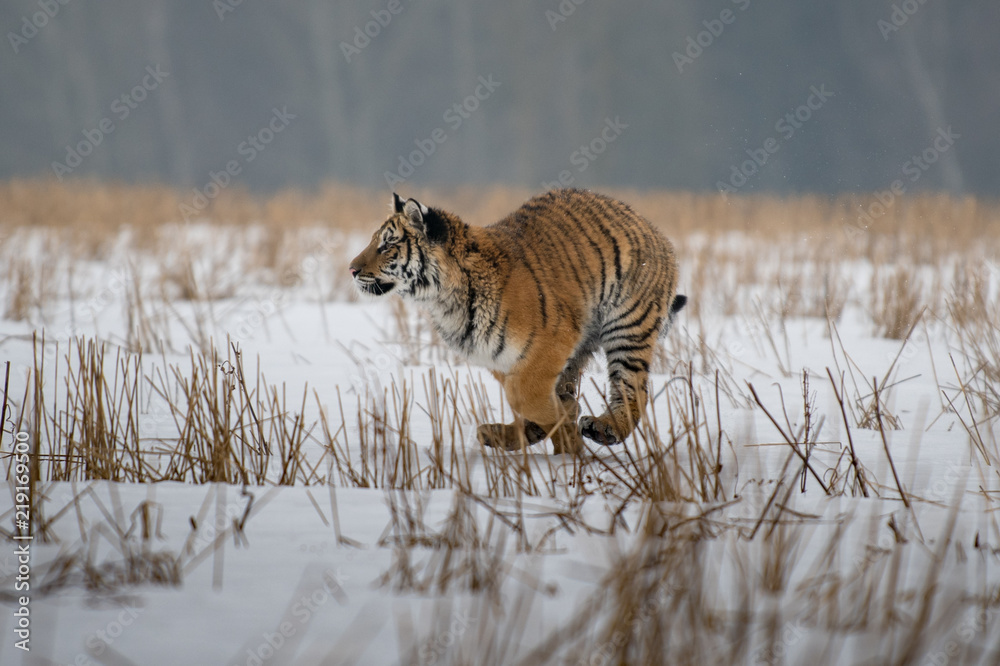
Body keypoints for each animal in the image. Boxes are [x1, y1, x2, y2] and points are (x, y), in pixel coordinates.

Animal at [349, 188, 686, 454]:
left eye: (386, 245)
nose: (352, 269)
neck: (443, 298)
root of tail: (651, 228)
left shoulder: (554, 339)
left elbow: (525, 395)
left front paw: (569, 435)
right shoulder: (500, 358)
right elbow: (528, 399)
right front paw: (563, 432)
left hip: (628, 327)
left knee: (633, 389)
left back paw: (604, 428)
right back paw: (502, 433)